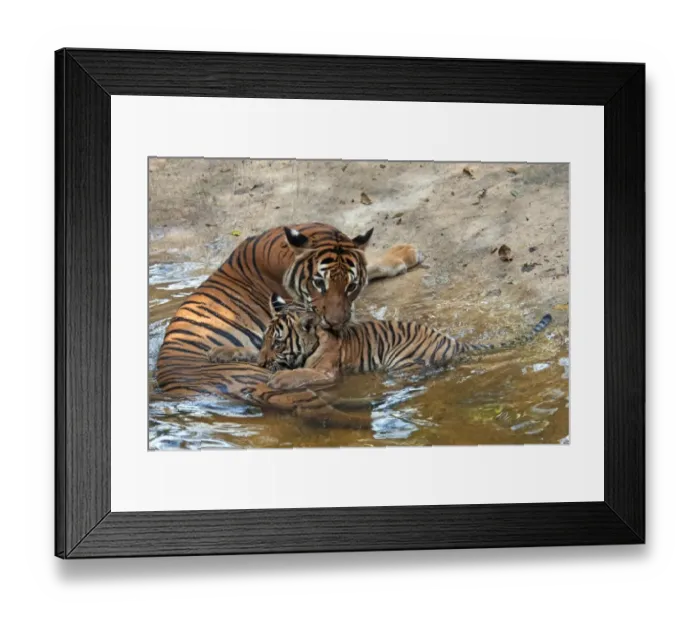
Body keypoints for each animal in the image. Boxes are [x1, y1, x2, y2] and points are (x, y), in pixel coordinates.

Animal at [154, 223, 423, 428]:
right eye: (319, 283)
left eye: (351, 286)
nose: (335, 324)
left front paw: (406, 252)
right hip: (265, 377)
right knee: (315, 405)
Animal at [252, 294, 553, 391]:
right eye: (264, 340)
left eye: (278, 343)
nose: (260, 363)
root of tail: (453, 341)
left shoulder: (327, 373)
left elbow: (301, 373)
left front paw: (278, 379)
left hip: (401, 360)